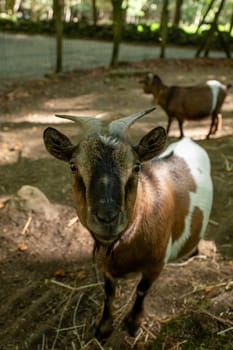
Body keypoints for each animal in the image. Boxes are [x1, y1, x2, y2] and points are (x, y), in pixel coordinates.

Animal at [43, 107, 213, 342]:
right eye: (73, 166)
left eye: (136, 166)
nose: (107, 217)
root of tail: (188, 140)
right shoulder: (105, 267)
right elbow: (108, 294)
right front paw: (103, 328)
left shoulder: (155, 265)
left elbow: (141, 290)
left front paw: (133, 324)